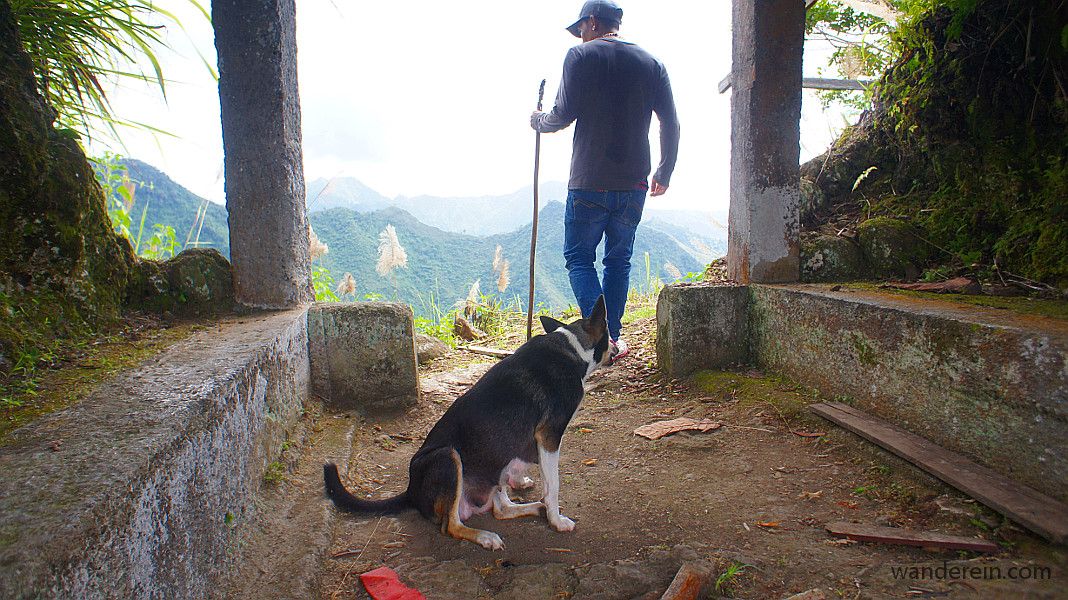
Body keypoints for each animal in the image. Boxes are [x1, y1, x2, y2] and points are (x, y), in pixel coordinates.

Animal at [322, 294, 610, 546]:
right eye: (609, 336)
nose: (617, 347)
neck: (572, 347)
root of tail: (411, 491)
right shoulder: (549, 435)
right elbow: (553, 486)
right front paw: (556, 520)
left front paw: (523, 484)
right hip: (448, 457)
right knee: (451, 526)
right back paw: (485, 537)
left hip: (492, 465)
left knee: (501, 510)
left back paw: (530, 508)